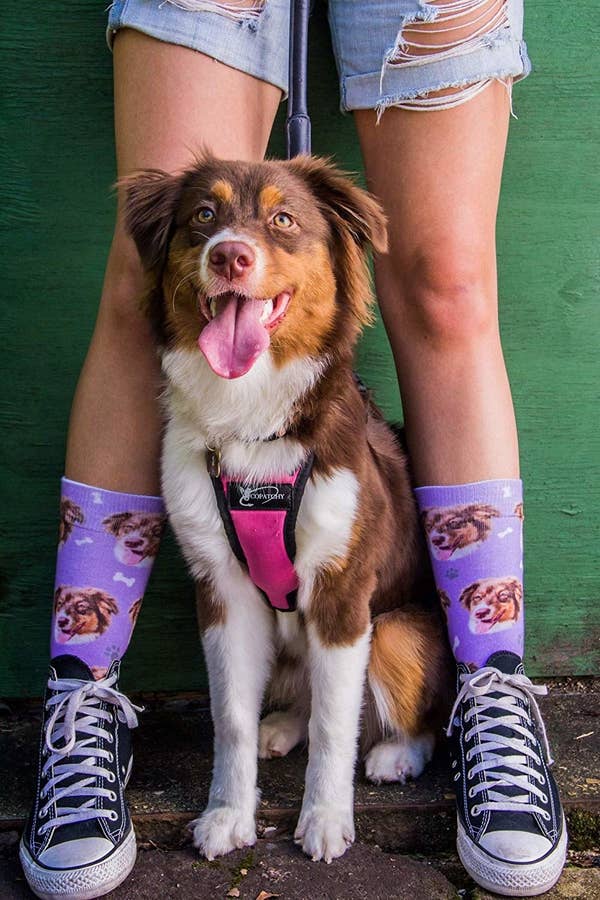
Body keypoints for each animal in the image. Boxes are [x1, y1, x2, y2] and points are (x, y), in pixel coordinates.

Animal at [122, 155, 450, 864]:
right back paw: (281, 726)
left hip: (397, 627)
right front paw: (228, 813)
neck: (254, 422)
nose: (230, 256)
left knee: (416, 716)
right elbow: (230, 719)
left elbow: (335, 725)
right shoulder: (222, 590)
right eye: (204, 216)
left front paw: (325, 818)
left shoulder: (343, 592)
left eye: (283, 220)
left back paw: (394, 755)